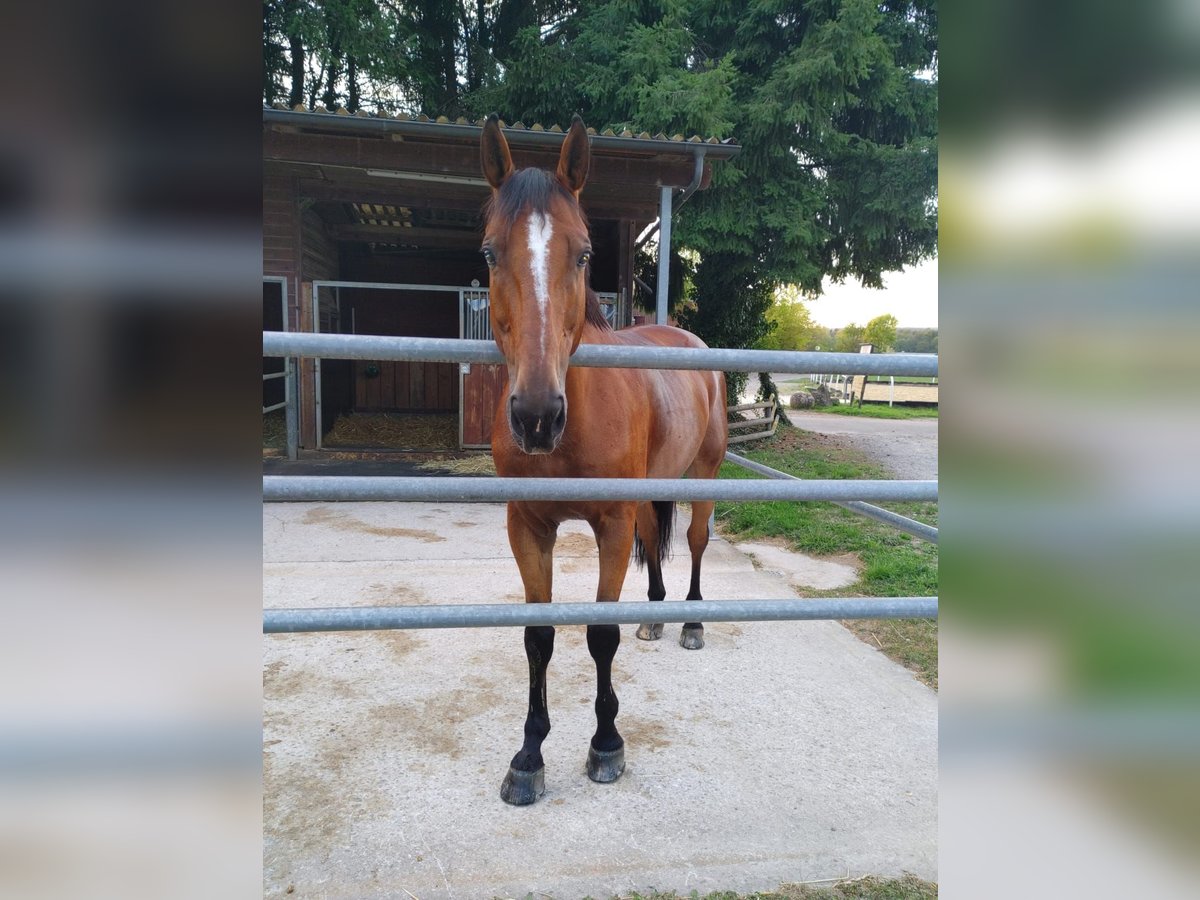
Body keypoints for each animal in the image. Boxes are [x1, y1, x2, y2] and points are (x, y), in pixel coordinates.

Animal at [480, 116, 724, 806]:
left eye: (585, 253)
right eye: (490, 252)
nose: (537, 415)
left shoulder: (609, 525)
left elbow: (599, 632)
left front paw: (607, 744)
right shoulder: (527, 526)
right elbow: (538, 638)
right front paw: (529, 756)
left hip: (706, 474)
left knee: (695, 539)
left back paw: (691, 619)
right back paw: (657, 613)